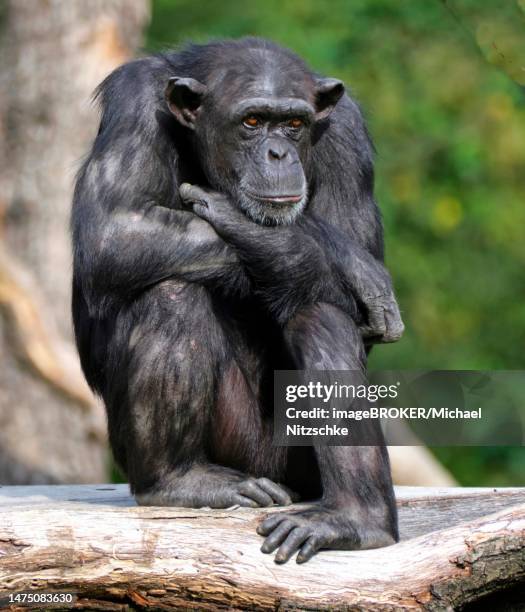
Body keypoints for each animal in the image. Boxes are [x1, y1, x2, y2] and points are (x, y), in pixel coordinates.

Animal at [71, 38, 404, 564]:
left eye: (294, 124)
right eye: (251, 121)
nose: (278, 152)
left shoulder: (346, 132)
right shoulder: (133, 102)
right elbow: (115, 229)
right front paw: (341, 260)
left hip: (290, 461)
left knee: (319, 310)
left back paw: (356, 519)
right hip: (233, 447)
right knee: (171, 293)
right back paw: (179, 481)